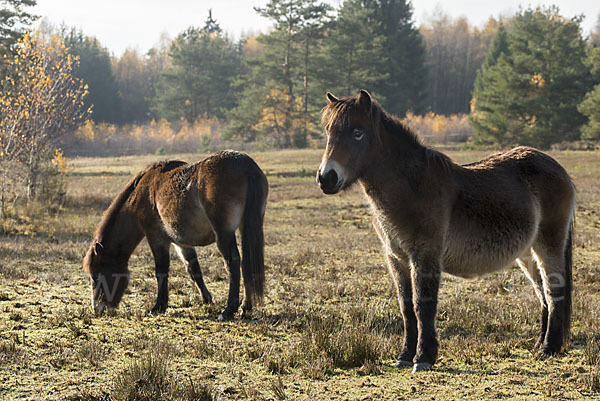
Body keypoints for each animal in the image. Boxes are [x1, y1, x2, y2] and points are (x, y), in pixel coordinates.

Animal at [81, 148, 268, 320]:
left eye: (95, 276)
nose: (98, 309)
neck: (143, 193)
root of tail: (247, 166)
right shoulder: (181, 243)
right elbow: (193, 269)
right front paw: (207, 300)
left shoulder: (157, 237)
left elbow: (161, 270)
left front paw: (159, 306)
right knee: (246, 262)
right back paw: (245, 307)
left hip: (223, 233)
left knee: (233, 263)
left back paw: (229, 310)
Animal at [316, 90, 576, 372]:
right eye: (329, 132)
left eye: (357, 132)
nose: (326, 177)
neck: (412, 188)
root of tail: (557, 168)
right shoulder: (396, 258)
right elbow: (406, 307)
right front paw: (405, 356)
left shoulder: (425, 254)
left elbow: (423, 305)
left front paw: (424, 357)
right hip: (527, 253)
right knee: (542, 294)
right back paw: (539, 343)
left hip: (549, 244)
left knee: (553, 290)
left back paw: (550, 348)